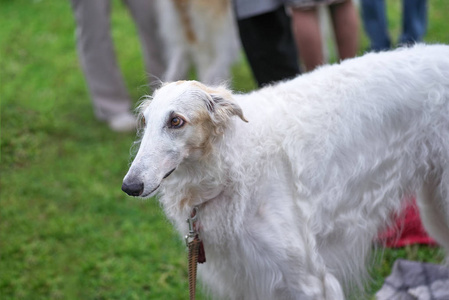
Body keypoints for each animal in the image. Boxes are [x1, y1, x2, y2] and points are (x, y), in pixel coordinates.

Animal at [121, 45, 448, 300]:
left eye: (176, 121)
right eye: (145, 121)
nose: (129, 186)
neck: (234, 164)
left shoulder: (309, 281)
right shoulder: (248, 277)